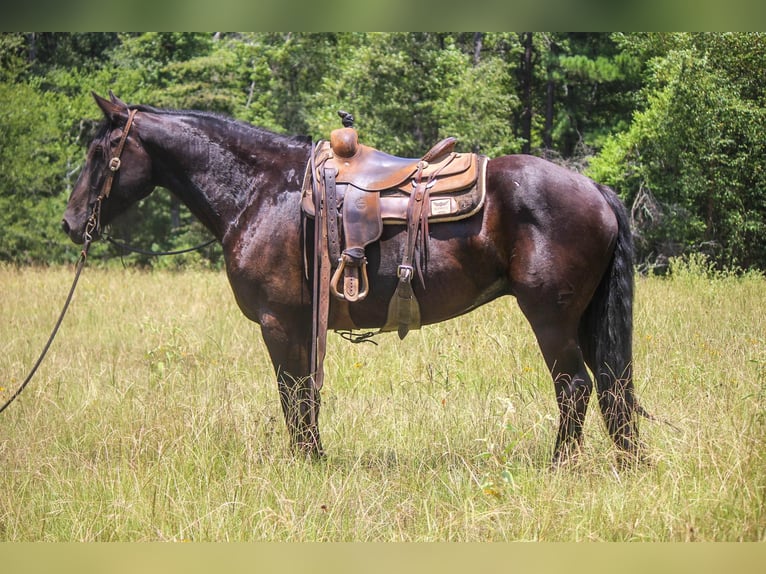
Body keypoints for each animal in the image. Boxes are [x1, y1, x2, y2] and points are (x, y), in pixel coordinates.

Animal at [64, 94, 640, 470]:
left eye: (97, 155)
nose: (71, 223)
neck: (262, 193)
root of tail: (595, 189)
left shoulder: (279, 323)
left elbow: (293, 392)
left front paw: (303, 461)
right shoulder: (302, 325)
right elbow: (306, 393)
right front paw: (315, 457)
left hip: (551, 316)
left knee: (575, 387)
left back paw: (559, 465)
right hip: (582, 319)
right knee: (610, 386)